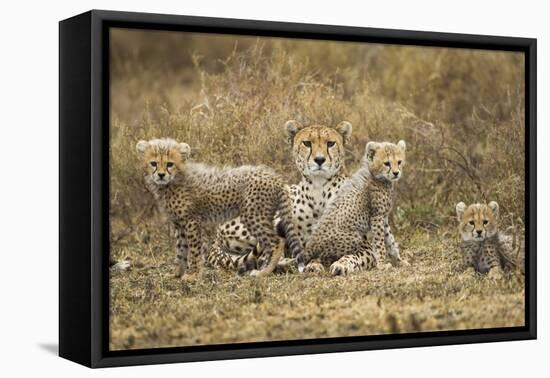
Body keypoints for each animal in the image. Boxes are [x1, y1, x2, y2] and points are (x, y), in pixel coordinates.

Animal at [136, 138, 304, 278]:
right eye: (153, 163)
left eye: (170, 164)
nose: (161, 175)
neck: (174, 180)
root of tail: (274, 177)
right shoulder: (180, 224)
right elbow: (180, 251)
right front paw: (177, 273)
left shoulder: (192, 221)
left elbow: (194, 250)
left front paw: (193, 275)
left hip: (253, 216)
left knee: (277, 242)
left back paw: (264, 272)